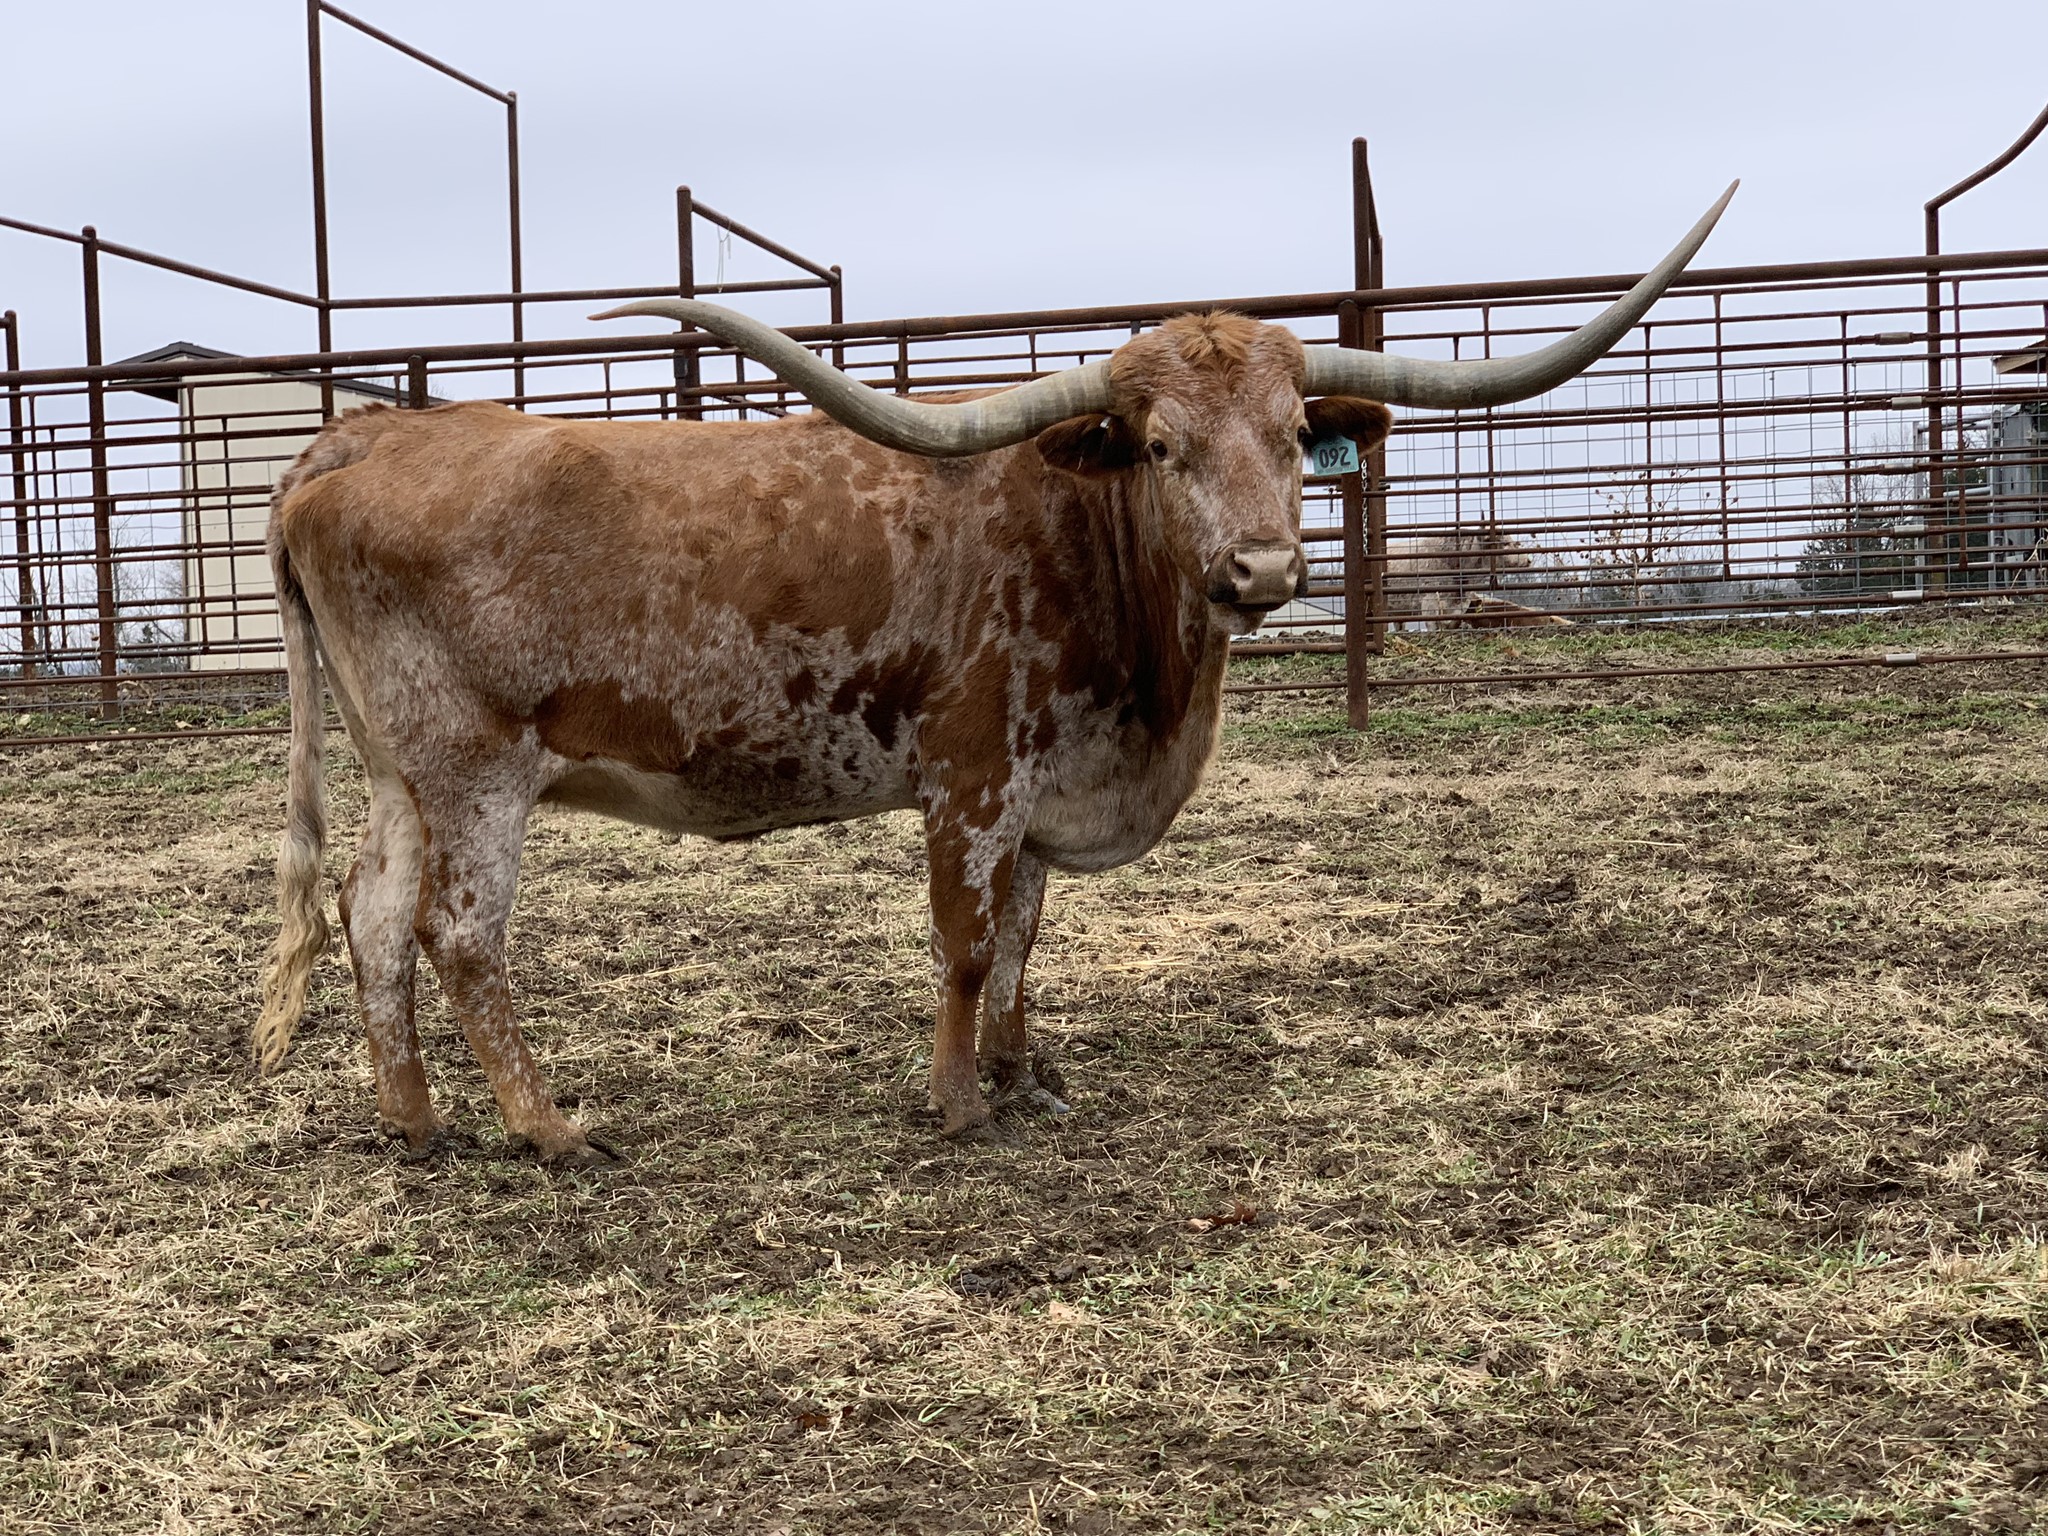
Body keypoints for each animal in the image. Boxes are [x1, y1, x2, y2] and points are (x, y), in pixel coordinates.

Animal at [253, 187, 1734, 1163]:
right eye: (1160, 446)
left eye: (1289, 434)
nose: (1259, 570)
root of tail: (364, 437)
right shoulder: (969, 778)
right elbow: (967, 944)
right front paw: (960, 1104)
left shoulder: (1036, 793)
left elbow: (1024, 937)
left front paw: (1029, 1075)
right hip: (478, 766)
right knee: (458, 936)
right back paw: (548, 1128)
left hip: (403, 773)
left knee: (371, 918)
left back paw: (416, 1125)